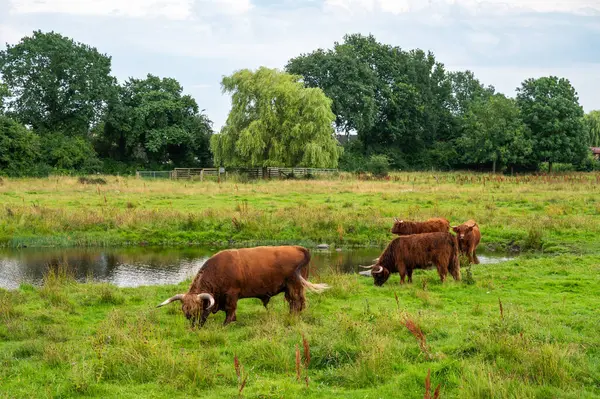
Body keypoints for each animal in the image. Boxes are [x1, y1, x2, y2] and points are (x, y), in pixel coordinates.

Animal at [157, 247, 330, 328]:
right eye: (184, 311)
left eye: (198, 309)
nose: (194, 325)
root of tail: (299, 247)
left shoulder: (232, 294)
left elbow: (230, 310)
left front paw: (227, 323)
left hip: (294, 285)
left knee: (297, 302)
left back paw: (292, 317)